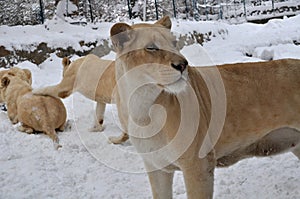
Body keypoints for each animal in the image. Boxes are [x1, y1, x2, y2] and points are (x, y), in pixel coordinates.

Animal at [111, 15, 300, 199]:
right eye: (151, 48)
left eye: (174, 43)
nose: (182, 65)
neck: (141, 104)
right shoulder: (157, 167)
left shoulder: (198, 165)